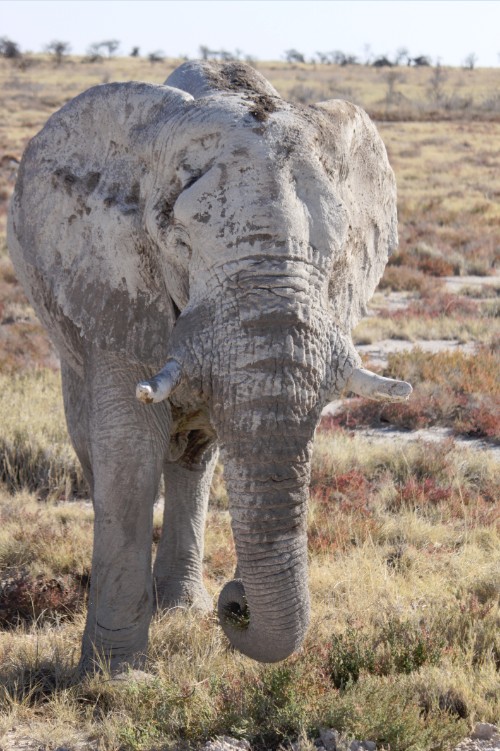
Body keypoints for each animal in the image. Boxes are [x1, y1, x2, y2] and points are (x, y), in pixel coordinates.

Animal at [7, 57, 412, 668]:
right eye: (179, 243)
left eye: (337, 250)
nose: (235, 602)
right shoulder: (114, 286)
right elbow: (129, 443)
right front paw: (115, 676)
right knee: (95, 445)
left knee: (195, 457)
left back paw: (180, 608)